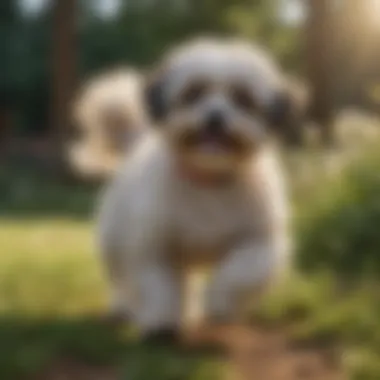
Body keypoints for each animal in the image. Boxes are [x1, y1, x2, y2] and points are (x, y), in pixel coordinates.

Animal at [97, 39, 294, 344]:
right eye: (193, 93)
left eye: (243, 98)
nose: (215, 118)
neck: (209, 180)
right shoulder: (154, 247)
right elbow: (159, 286)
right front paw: (161, 323)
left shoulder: (260, 241)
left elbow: (240, 273)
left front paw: (219, 305)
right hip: (115, 243)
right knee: (123, 280)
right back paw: (125, 308)